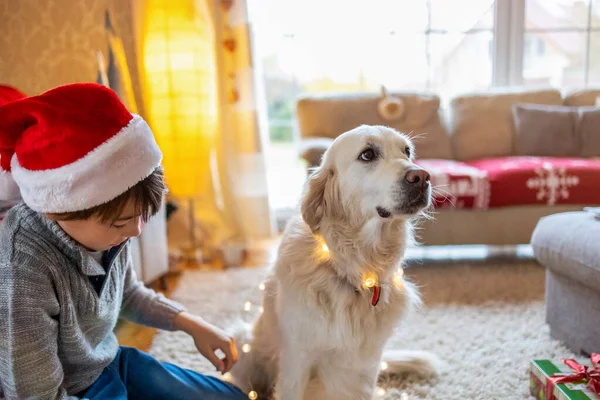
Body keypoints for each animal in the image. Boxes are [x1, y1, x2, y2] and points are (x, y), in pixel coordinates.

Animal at [230, 124, 440, 396]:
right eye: (367, 154)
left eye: (407, 152)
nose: (422, 177)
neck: (354, 268)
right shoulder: (296, 359)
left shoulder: (367, 364)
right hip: (241, 343)